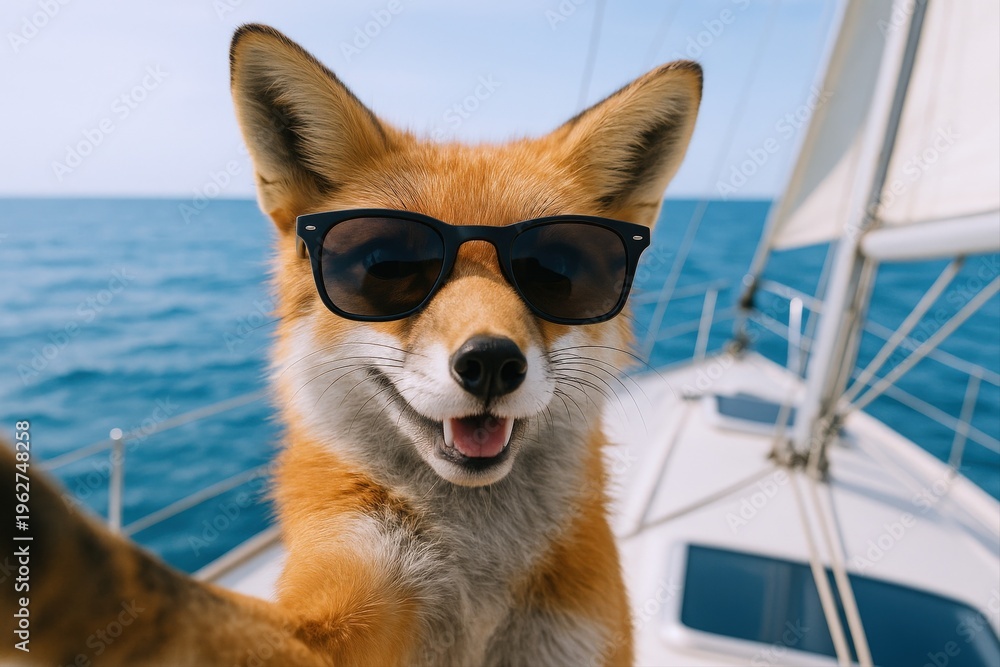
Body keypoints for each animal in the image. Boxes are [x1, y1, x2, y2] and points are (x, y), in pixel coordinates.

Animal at [1, 24, 700, 666]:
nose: (492, 363)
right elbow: (170, 611)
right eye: (387, 267)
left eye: (556, 272)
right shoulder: (341, 606)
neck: (476, 573)